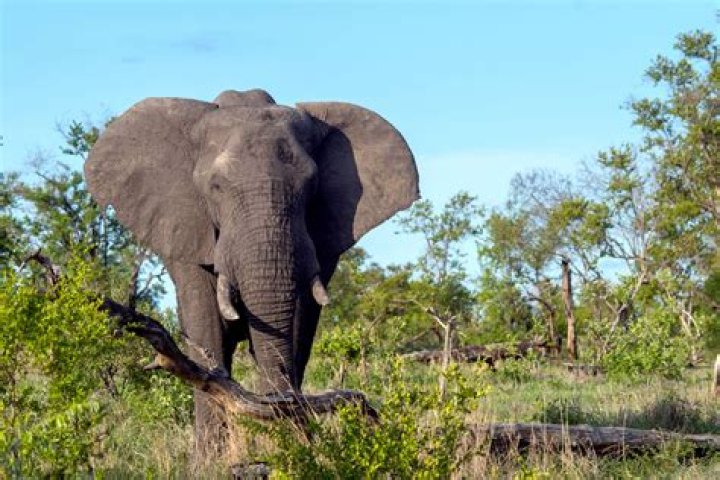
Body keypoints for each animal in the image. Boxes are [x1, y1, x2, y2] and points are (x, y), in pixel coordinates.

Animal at [84, 88, 419, 448]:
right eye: (215, 187)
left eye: (312, 184)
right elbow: (207, 330)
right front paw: (213, 457)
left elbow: (297, 328)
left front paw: (292, 447)